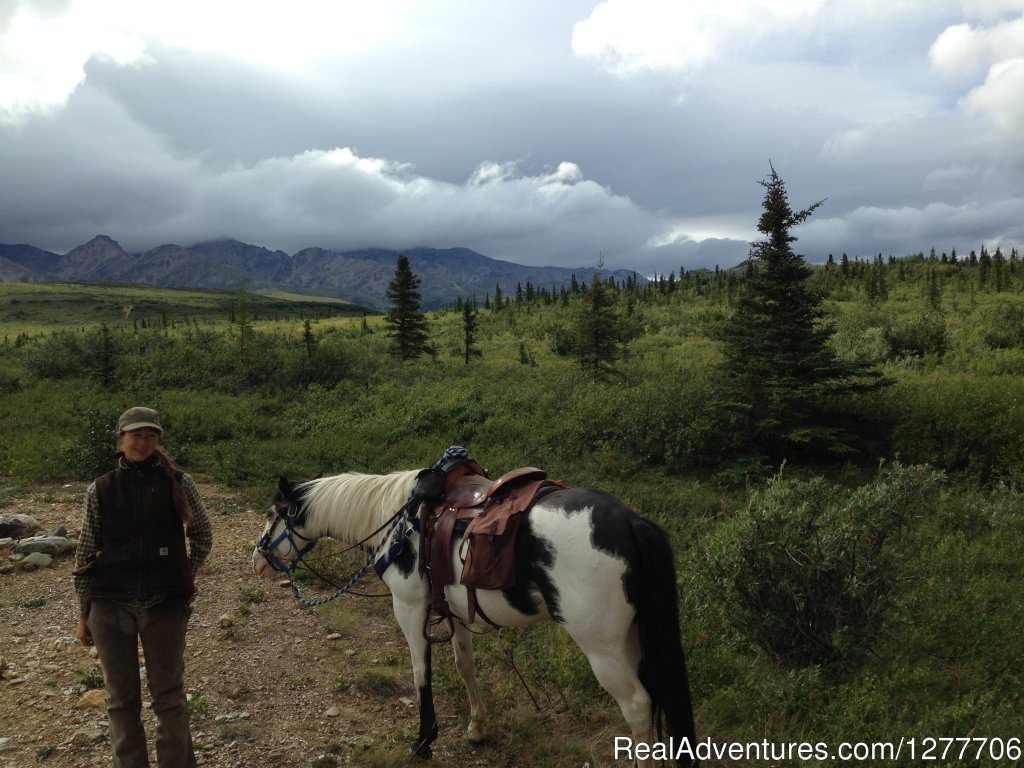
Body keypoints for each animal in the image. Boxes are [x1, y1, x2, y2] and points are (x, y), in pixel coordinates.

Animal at [249, 466, 696, 765]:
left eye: (274, 514)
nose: (257, 561)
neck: (399, 523)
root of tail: (631, 522)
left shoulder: (409, 607)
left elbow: (420, 672)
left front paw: (424, 740)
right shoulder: (454, 611)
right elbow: (465, 665)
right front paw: (478, 727)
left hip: (603, 648)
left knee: (637, 707)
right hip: (633, 639)